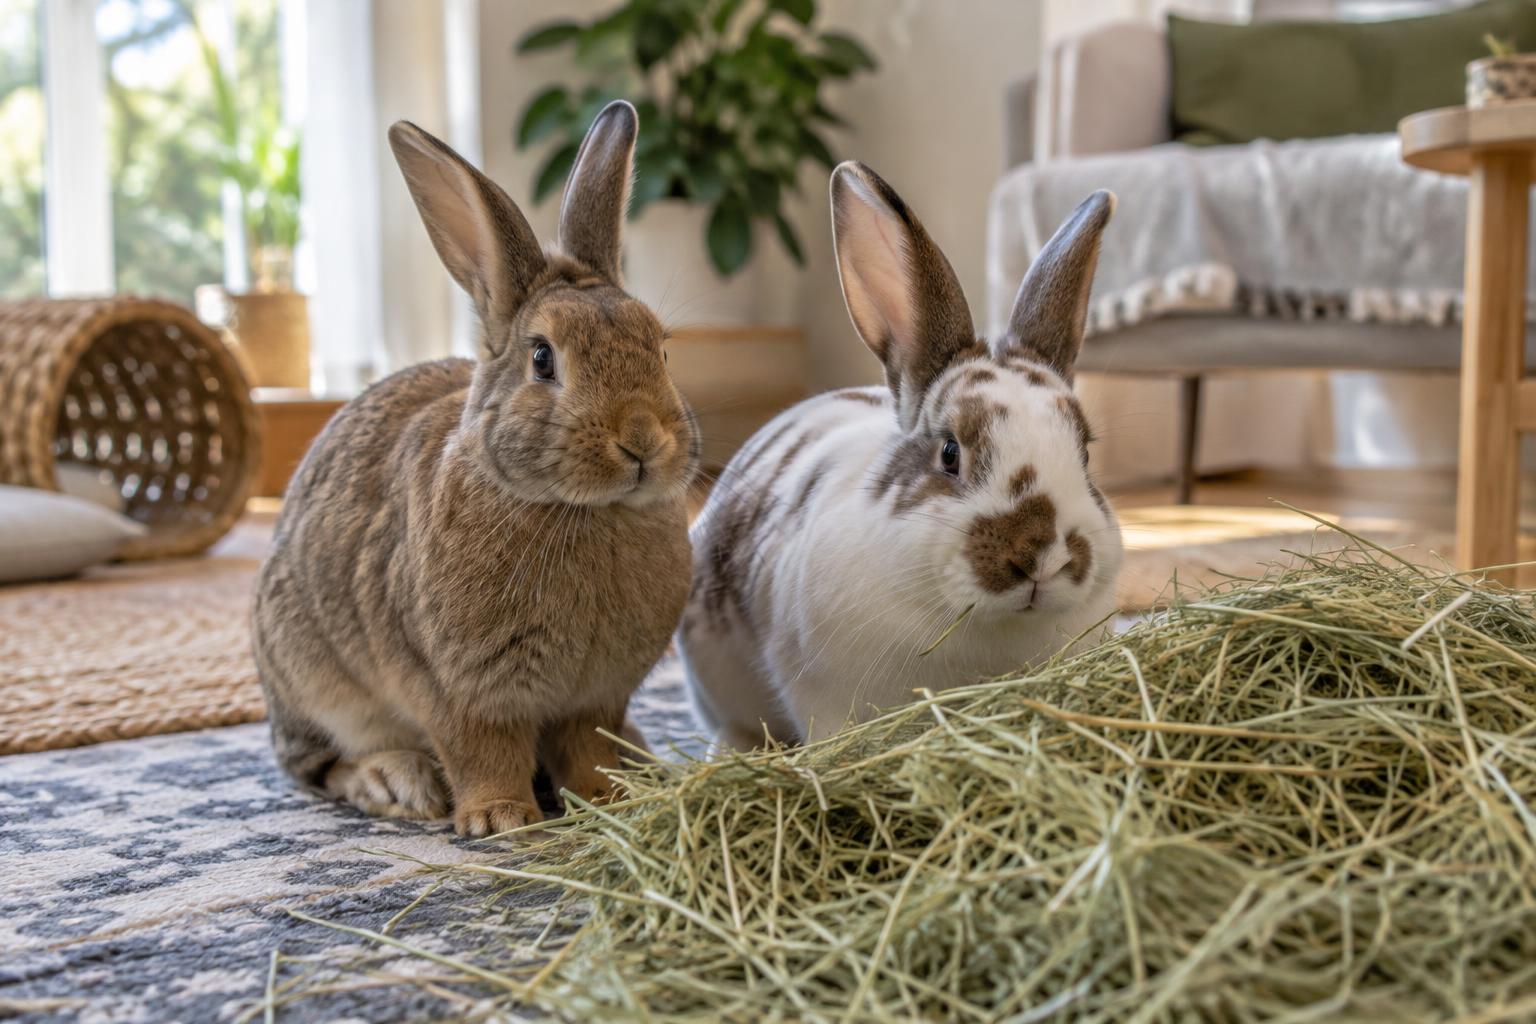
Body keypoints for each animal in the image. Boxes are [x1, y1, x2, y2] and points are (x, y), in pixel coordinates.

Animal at [252, 101, 699, 837]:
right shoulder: (456, 688)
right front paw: (500, 819)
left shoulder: (597, 696)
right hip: (312, 680)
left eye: (660, 349)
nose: (642, 440)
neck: (579, 510)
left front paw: (607, 799)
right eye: (543, 358)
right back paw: (396, 783)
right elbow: (478, 748)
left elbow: (586, 748)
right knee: (318, 766)